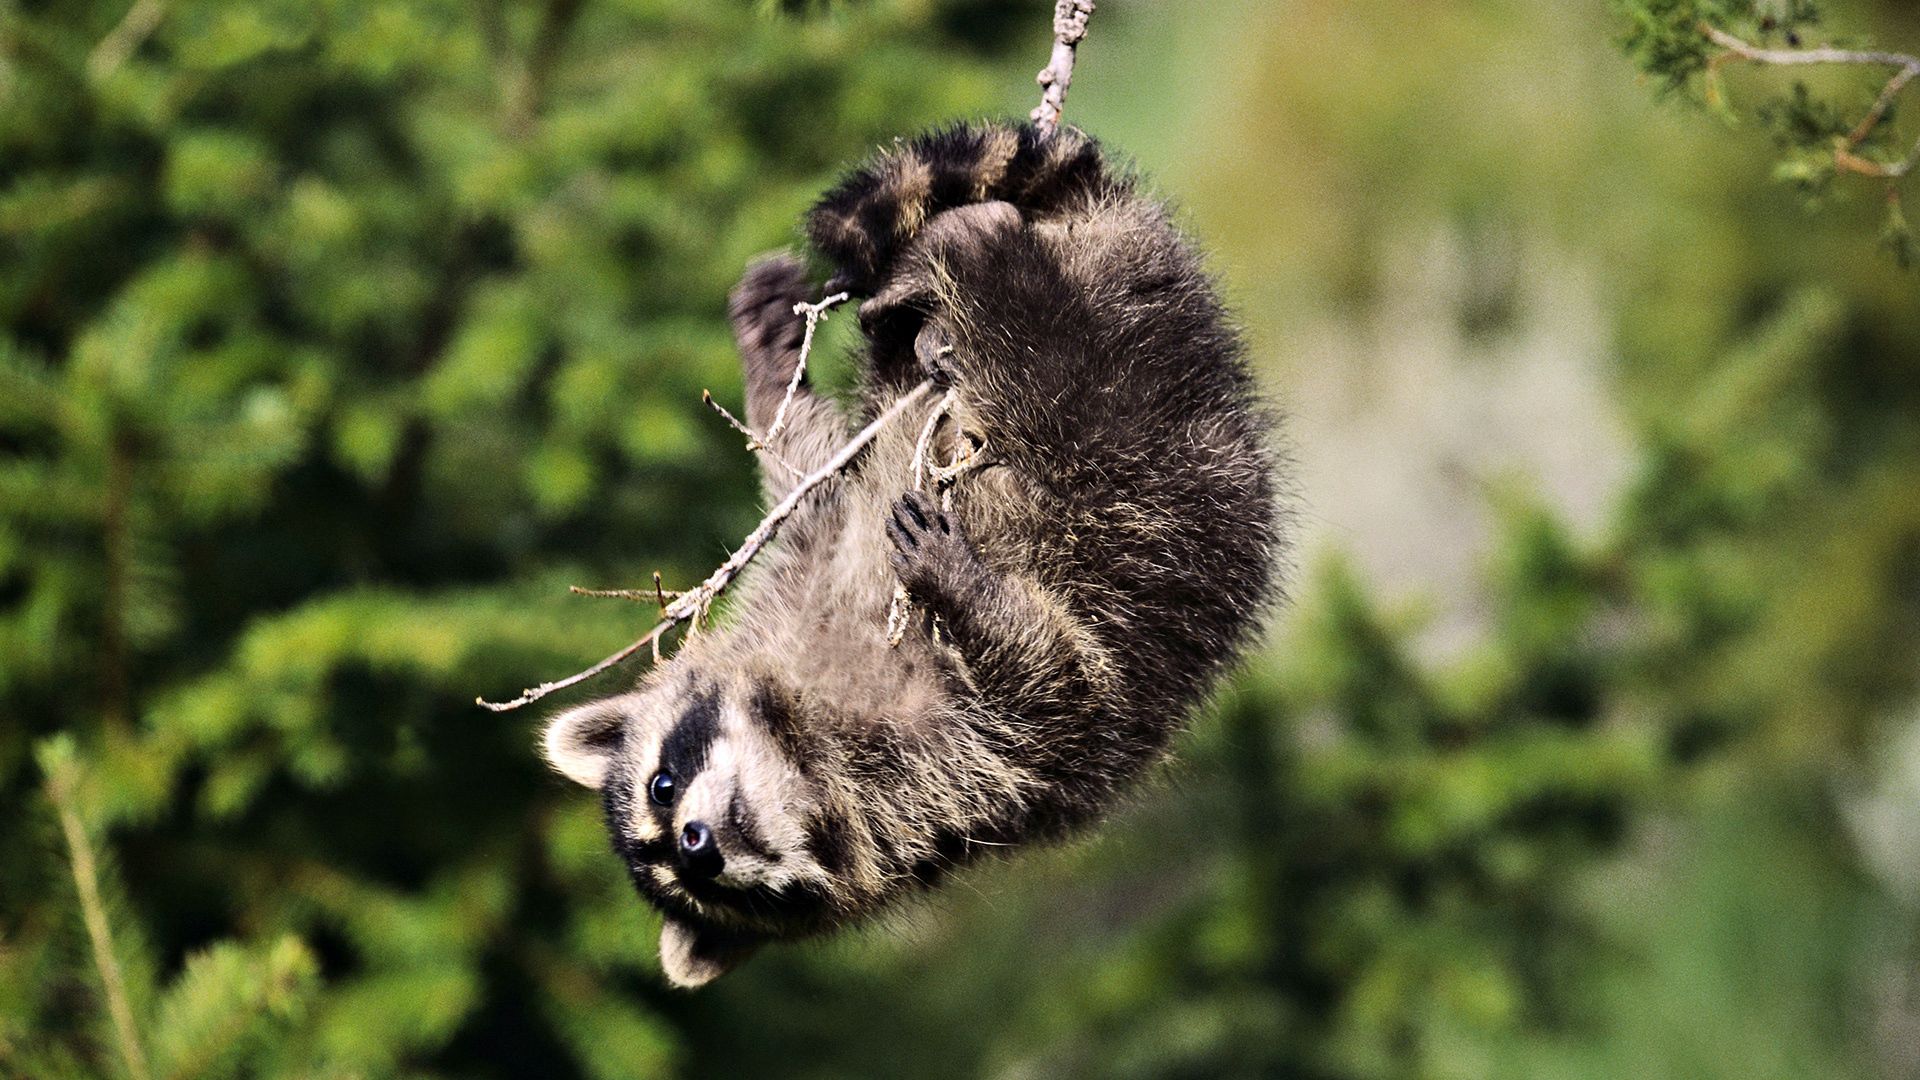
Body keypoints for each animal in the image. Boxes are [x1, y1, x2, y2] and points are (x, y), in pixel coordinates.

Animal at [541, 119, 1282, 983]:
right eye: (697, 885)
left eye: (661, 786)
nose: (697, 846)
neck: (801, 743)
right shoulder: (964, 789)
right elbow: (1055, 693)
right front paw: (975, 596)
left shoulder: (814, 568)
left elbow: (815, 472)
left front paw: (768, 369)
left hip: (1128, 386)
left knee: (1046, 360)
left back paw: (970, 248)